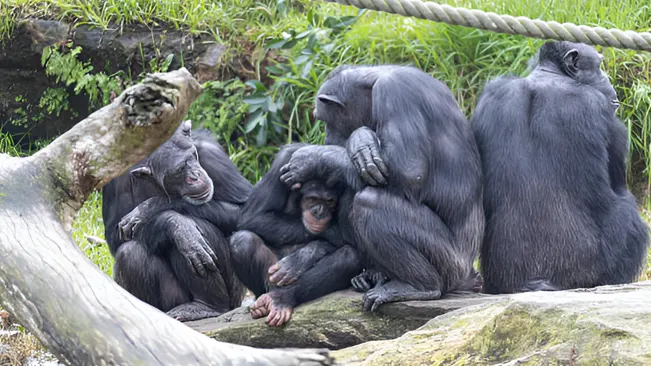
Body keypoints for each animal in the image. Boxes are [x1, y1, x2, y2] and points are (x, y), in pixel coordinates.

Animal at [102, 120, 252, 320]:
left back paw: (208, 306)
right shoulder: (116, 179)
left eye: (192, 157)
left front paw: (152, 207)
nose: (195, 176)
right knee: (130, 253)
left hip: (234, 292)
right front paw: (176, 226)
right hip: (171, 300)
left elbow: (247, 211)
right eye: (180, 169)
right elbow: (114, 236)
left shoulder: (212, 155)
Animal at [228, 142, 362, 326]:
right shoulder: (282, 161)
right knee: (242, 241)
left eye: (329, 201)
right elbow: (254, 216)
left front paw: (300, 259)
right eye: (312, 199)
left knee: (350, 257)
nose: (319, 212)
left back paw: (280, 299)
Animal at [278, 65, 486, 312]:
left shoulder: (394, 93)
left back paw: (417, 286)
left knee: (369, 202)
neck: (374, 81)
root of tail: (469, 276)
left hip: (449, 264)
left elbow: (409, 171)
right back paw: (374, 276)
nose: (327, 136)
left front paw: (312, 158)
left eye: (324, 119)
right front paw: (360, 141)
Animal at [472, 40, 648, 294]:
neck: (549, 76)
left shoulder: (491, 92)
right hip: (591, 272)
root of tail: (537, 282)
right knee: (630, 219)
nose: (607, 79)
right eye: (599, 66)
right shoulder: (601, 108)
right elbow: (617, 184)